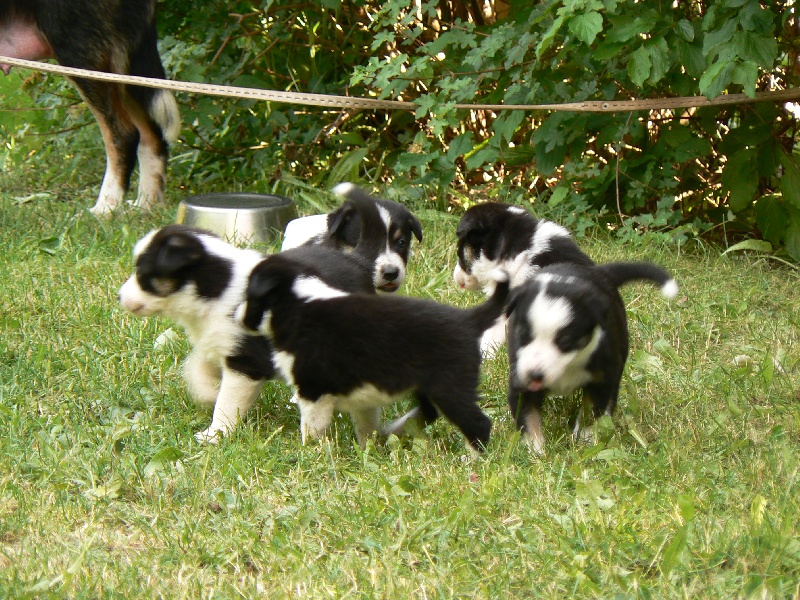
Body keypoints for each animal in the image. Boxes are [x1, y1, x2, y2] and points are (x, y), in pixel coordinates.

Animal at [1, 0, 180, 216]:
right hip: (121, 69)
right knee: (152, 136)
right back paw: (146, 206)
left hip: (79, 53)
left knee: (122, 134)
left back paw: (106, 207)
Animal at [119, 224, 376, 440]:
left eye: (141, 272)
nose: (119, 296)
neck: (215, 288)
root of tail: (358, 260)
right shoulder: (215, 342)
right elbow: (196, 368)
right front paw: (206, 393)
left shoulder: (245, 363)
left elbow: (226, 404)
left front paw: (214, 435)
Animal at [239, 253, 512, 454]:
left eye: (251, 296)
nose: (237, 317)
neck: (296, 302)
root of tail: (469, 320)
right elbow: (365, 424)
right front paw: (367, 448)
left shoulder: (312, 390)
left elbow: (312, 427)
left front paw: (310, 452)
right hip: (430, 385)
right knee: (428, 411)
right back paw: (397, 429)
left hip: (450, 387)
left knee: (477, 422)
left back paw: (473, 459)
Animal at [506, 260, 676, 452]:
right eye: (523, 335)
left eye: (565, 341)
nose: (534, 374)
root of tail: (601, 271)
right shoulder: (520, 379)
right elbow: (528, 416)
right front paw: (534, 449)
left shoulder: (601, 378)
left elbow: (592, 411)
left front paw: (586, 441)